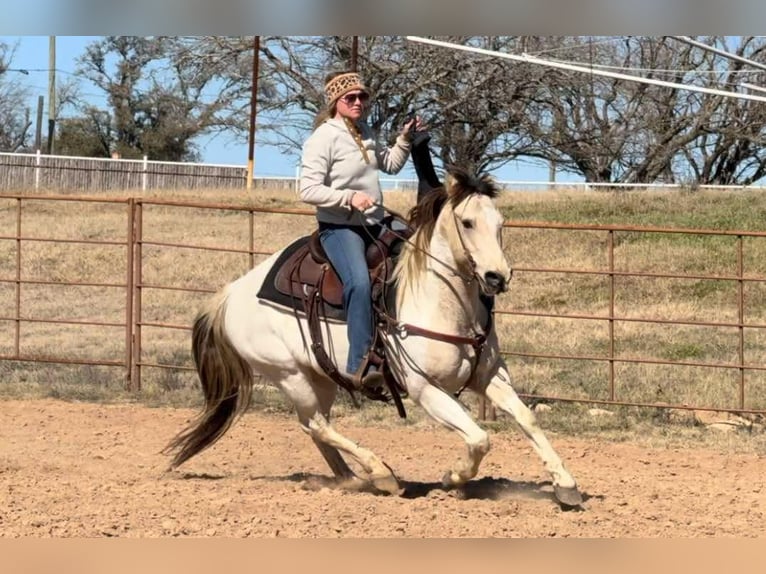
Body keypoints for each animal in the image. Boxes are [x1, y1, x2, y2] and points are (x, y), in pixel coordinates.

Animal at [163, 167, 583, 508]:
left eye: (500, 222)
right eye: (466, 222)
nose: (497, 277)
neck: (441, 301)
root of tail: (230, 293)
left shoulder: (490, 375)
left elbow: (527, 419)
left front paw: (565, 485)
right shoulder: (425, 389)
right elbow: (479, 438)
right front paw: (453, 478)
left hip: (319, 375)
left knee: (314, 426)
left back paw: (352, 478)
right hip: (288, 374)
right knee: (318, 424)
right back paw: (381, 473)